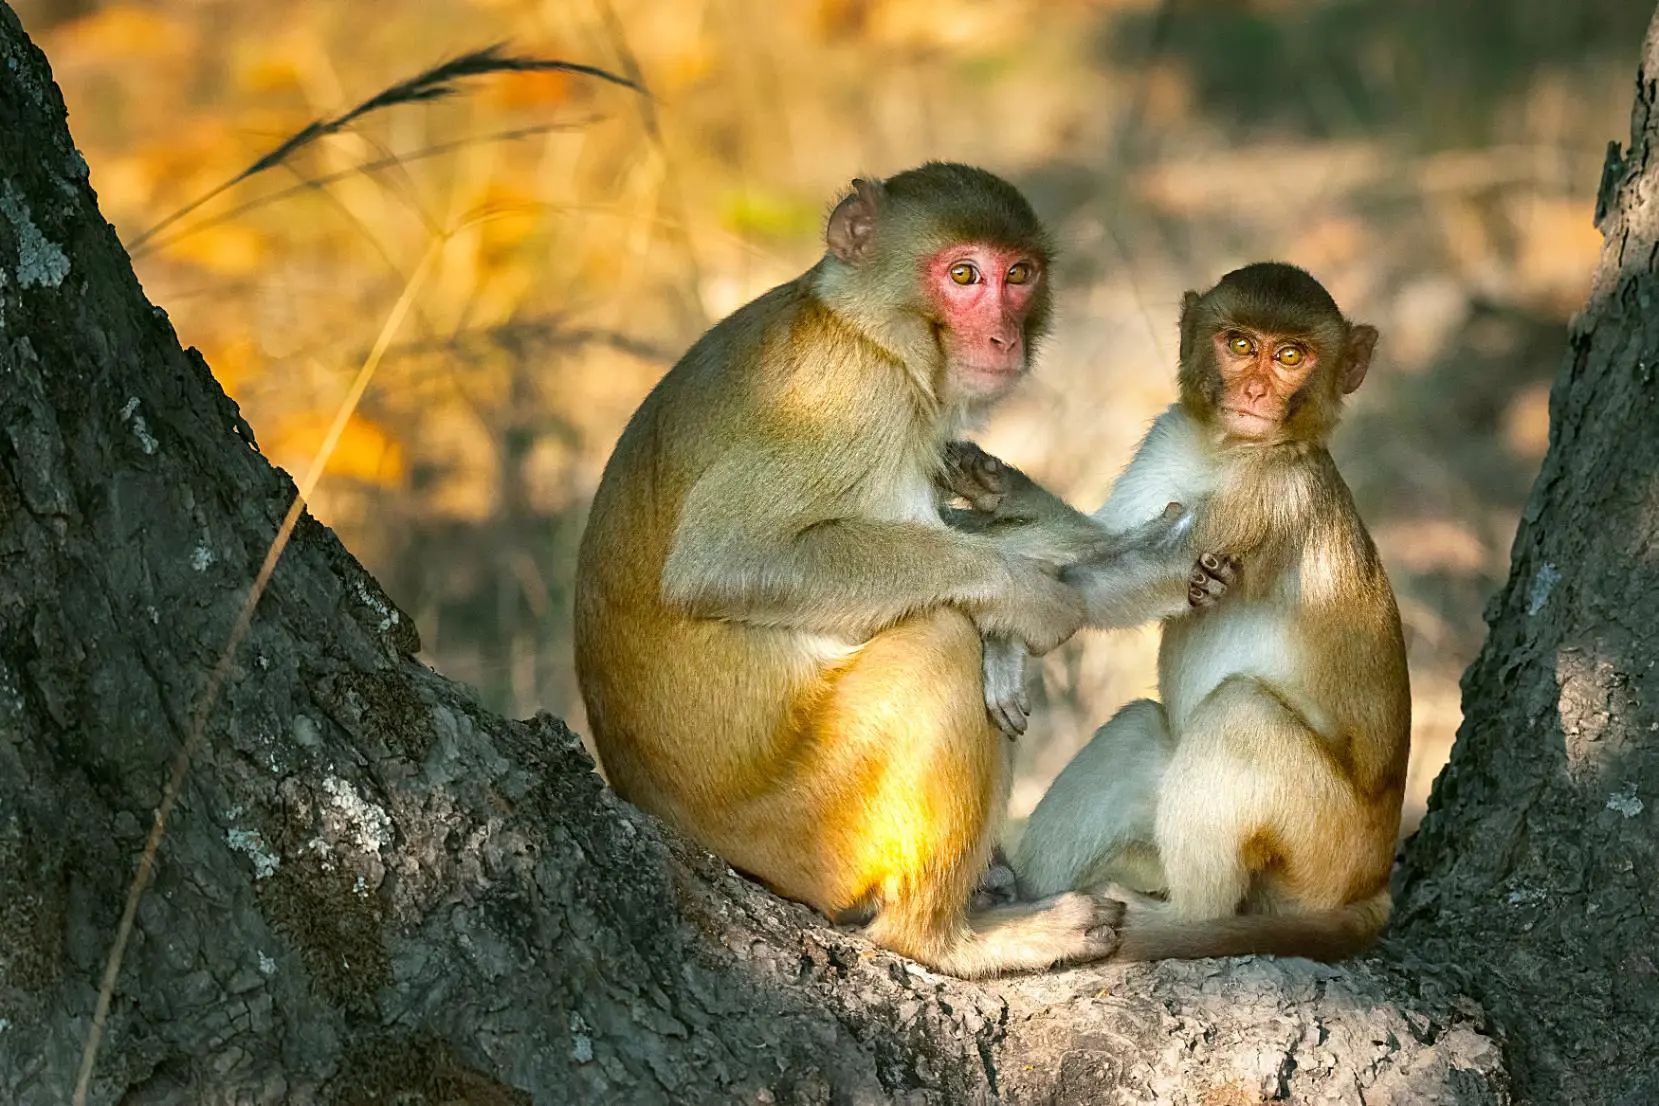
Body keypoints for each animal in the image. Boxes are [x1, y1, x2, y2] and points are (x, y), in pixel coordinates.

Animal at [574, 162, 1196, 978]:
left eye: (1018, 275)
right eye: (963, 275)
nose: (1001, 335)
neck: (867, 332)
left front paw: (1135, 568)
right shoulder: (843, 402)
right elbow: (724, 561)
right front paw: (1027, 599)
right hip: (810, 832)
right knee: (940, 639)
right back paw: (946, 938)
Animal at [1000, 262, 1409, 962]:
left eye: (1291, 355)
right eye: (1239, 344)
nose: (1254, 390)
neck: (1228, 450)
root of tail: (1374, 884)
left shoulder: (1273, 491)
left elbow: (1162, 569)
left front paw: (1001, 640)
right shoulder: (1170, 433)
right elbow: (1105, 537)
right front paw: (1002, 496)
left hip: (1321, 852)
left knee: (1240, 712)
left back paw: (1179, 920)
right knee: (1138, 728)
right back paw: (1020, 903)